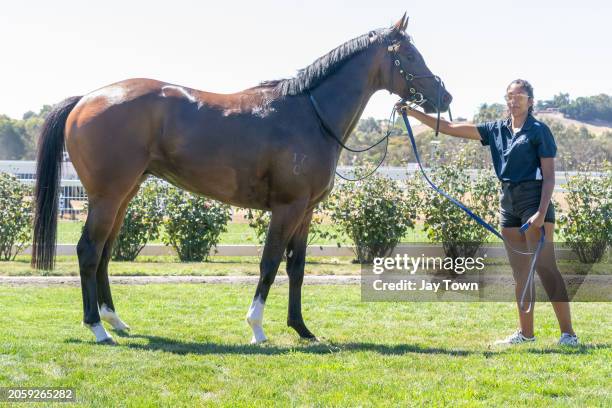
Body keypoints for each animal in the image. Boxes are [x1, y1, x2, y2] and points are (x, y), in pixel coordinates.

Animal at [31, 15, 452, 346]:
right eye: (409, 56)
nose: (444, 97)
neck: (310, 115)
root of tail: (86, 99)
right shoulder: (287, 208)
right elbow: (269, 263)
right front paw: (257, 328)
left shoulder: (305, 212)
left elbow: (296, 268)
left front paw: (302, 329)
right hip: (107, 197)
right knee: (88, 251)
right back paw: (98, 328)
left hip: (124, 196)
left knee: (104, 253)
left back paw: (116, 321)